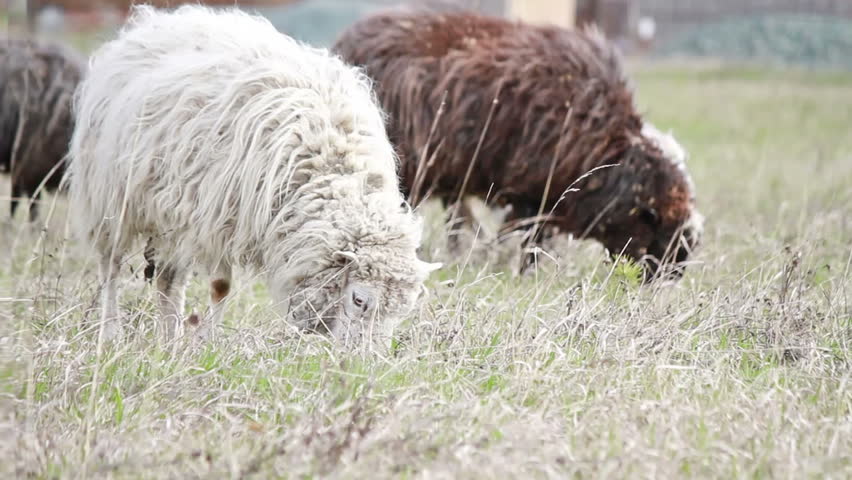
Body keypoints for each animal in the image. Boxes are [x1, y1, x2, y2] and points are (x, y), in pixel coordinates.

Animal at [68, 5, 440, 346]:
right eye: (359, 299)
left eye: (401, 311)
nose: (361, 362)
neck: (332, 163)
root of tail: (158, 20)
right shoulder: (217, 220)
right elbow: (221, 286)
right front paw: (207, 344)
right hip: (111, 199)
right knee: (111, 267)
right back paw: (110, 333)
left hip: (172, 214)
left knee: (167, 280)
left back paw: (169, 338)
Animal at [334, 9, 704, 280]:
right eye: (662, 231)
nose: (673, 276)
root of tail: (348, 38)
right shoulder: (531, 192)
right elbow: (528, 239)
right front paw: (524, 272)